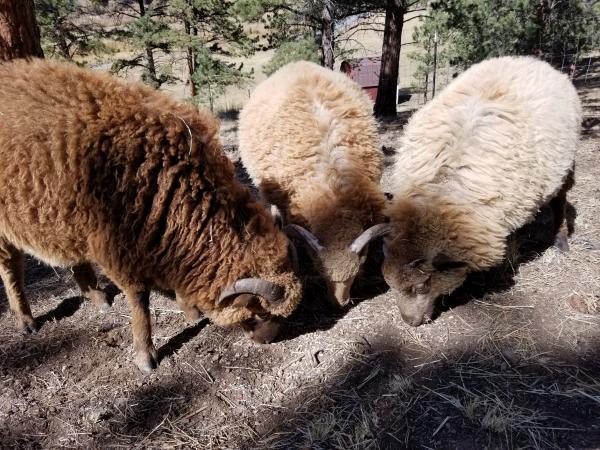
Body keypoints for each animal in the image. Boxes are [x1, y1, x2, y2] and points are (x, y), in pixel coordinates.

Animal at [0, 59, 302, 372]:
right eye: (257, 313)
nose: (267, 341)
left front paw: (190, 311)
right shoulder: (119, 250)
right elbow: (139, 300)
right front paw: (145, 356)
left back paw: (97, 298)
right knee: (11, 268)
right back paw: (26, 321)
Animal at [380, 56, 580, 326]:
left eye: (422, 285)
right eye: (389, 284)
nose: (410, 321)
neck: (443, 192)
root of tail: (532, 60)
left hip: (565, 165)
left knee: (560, 199)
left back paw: (561, 240)